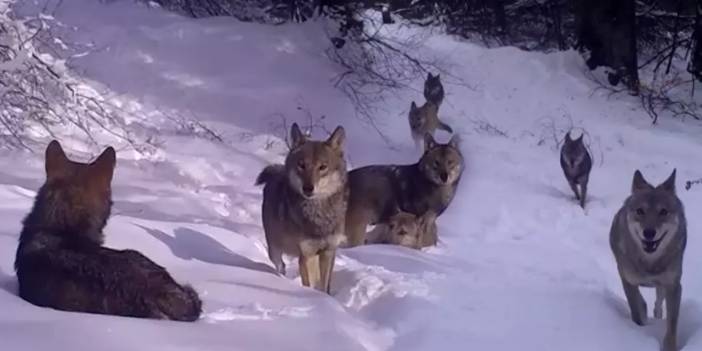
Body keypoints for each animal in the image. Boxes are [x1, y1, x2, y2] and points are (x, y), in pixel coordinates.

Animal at [256, 124, 350, 294]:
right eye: (301, 165)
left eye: (322, 167)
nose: (308, 188)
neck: (318, 215)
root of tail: (278, 173)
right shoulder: (306, 256)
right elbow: (309, 284)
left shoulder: (327, 252)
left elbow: (324, 286)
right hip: (274, 250)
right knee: (281, 265)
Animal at [612, 170, 688, 351]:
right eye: (640, 211)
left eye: (663, 212)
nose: (649, 232)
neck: (649, 263)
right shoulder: (628, 281)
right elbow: (636, 311)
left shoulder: (673, 286)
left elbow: (672, 325)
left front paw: (669, 347)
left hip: (662, 288)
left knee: (658, 304)